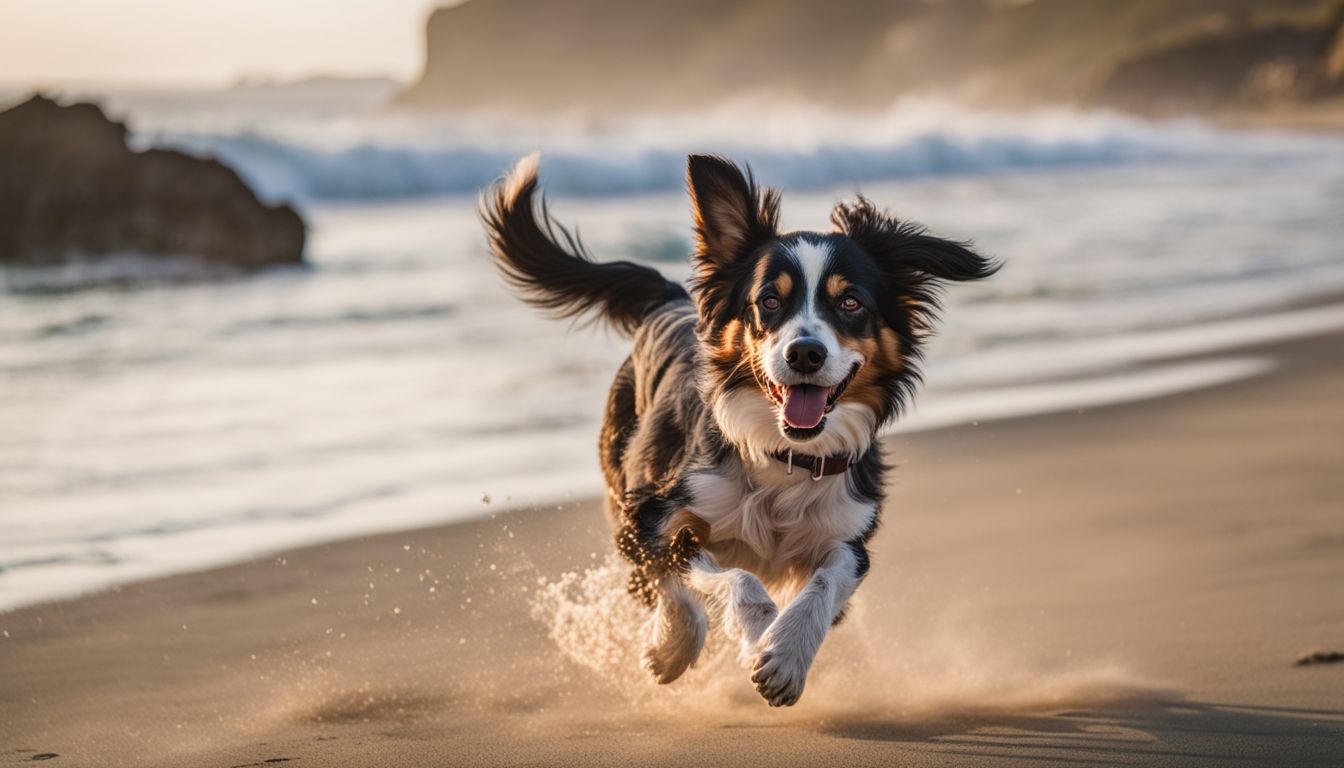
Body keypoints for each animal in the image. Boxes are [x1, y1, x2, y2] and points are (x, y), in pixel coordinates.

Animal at [483, 154, 999, 710]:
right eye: (769, 301)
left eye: (851, 303)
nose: (805, 353)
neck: (783, 453)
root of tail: (670, 297)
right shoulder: (649, 514)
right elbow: (718, 577)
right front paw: (689, 644)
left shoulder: (849, 531)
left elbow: (825, 582)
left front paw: (786, 653)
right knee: (649, 583)